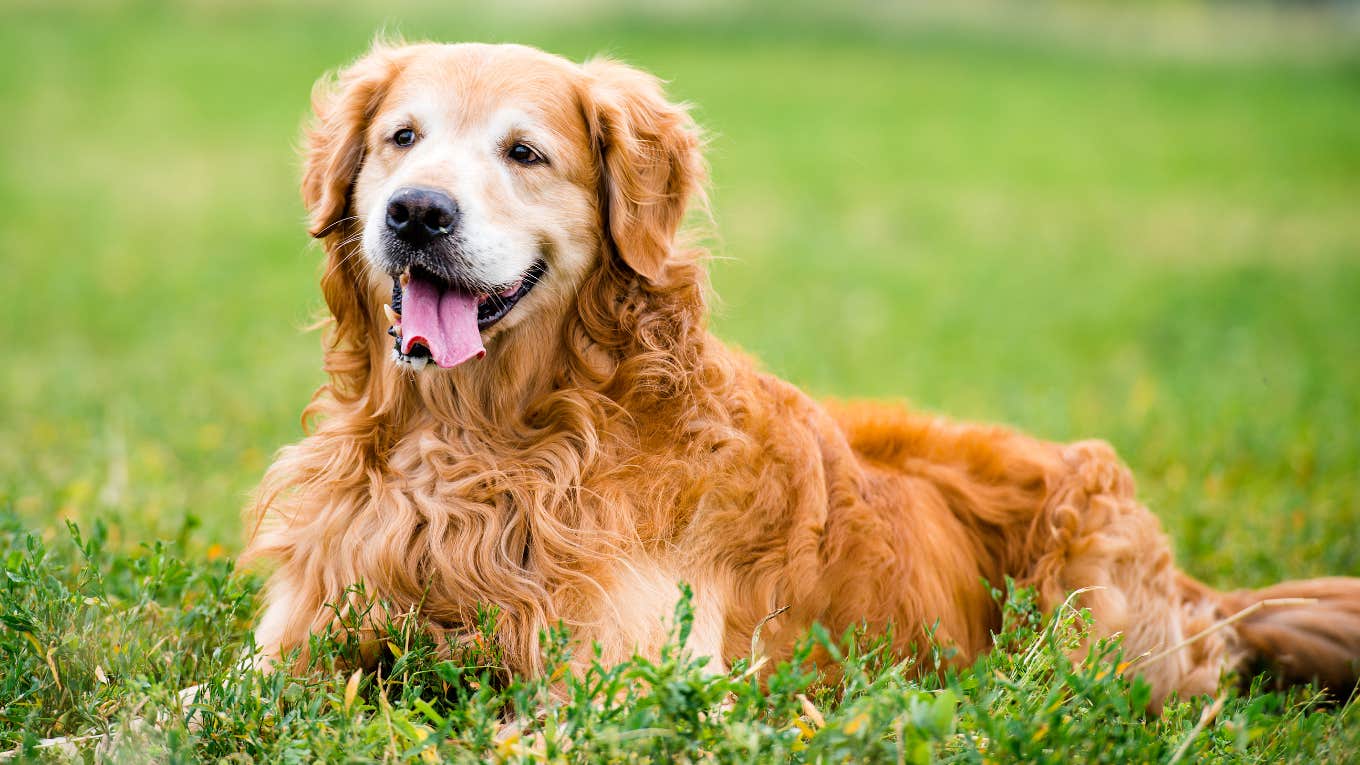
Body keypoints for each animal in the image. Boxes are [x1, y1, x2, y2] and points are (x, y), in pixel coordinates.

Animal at [244, 40, 1360, 707]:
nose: (417, 212)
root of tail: (1198, 592)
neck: (480, 444)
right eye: (402, 138)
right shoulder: (285, 648)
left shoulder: (624, 683)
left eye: (524, 153)